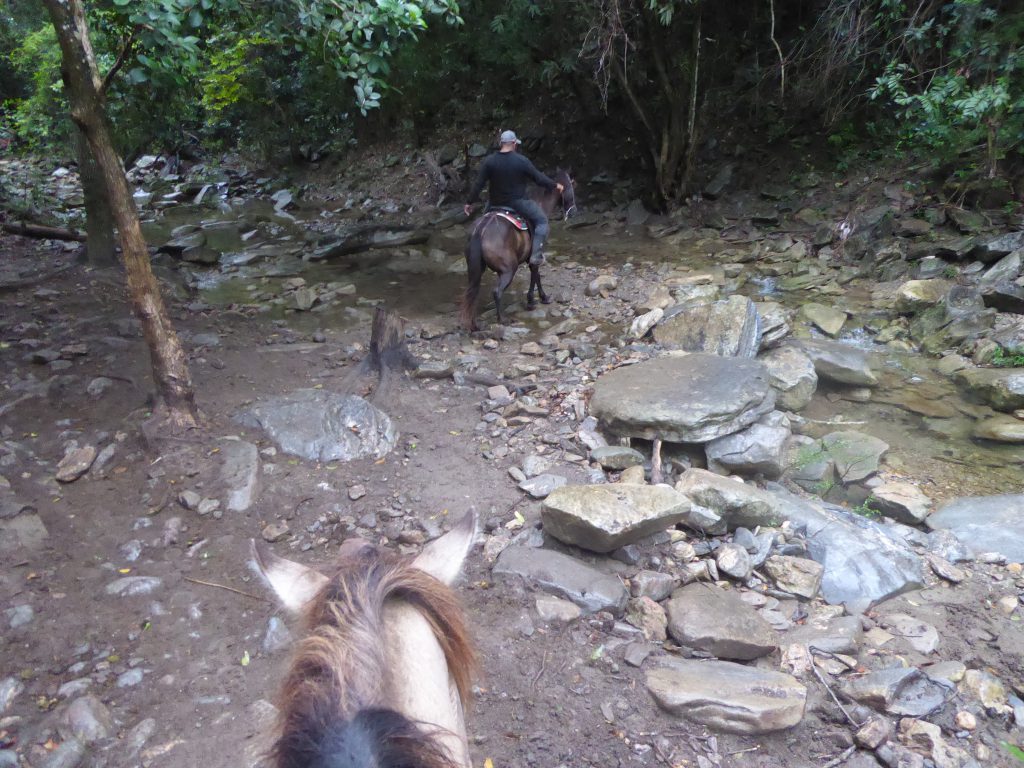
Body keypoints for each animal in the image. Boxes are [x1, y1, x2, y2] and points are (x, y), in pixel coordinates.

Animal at [462, 168, 577, 331]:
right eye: (572, 188)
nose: (574, 212)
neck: (540, 203)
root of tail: (481, 229)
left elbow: (536, 276)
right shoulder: (535, 256)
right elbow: (535, 275)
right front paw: (536, 299)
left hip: (476, 269)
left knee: (472, 292)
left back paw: (473, 323)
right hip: (509, 269)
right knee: (497, 292)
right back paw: (502, 319)